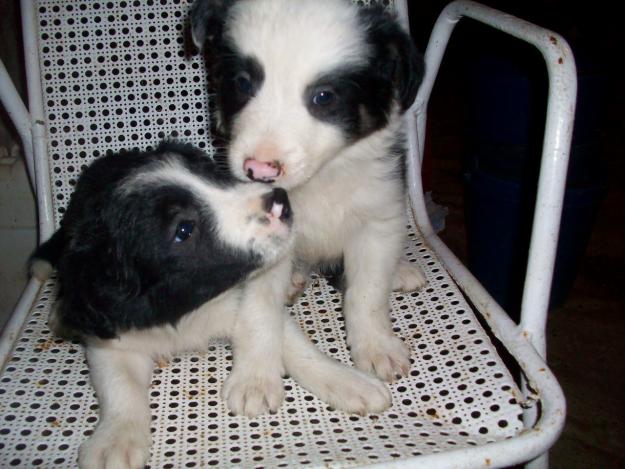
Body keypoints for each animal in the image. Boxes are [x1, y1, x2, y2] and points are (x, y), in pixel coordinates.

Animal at [31, 142, 390, 468]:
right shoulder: (113, 338)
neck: (183, 308)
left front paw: (350, 382)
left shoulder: (239, 301)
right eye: (184, 230)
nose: (281, 202)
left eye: (212, 175)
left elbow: (288, 343)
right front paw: (115, 441)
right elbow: (119, 386)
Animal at [193, 0, 426, 400]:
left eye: (324, 97)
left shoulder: (379, 216)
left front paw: (377, 347)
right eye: (243, 83)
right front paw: (255, 379)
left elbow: (367, 293)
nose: (259, 169)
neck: (317, 181)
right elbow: (258, 309)